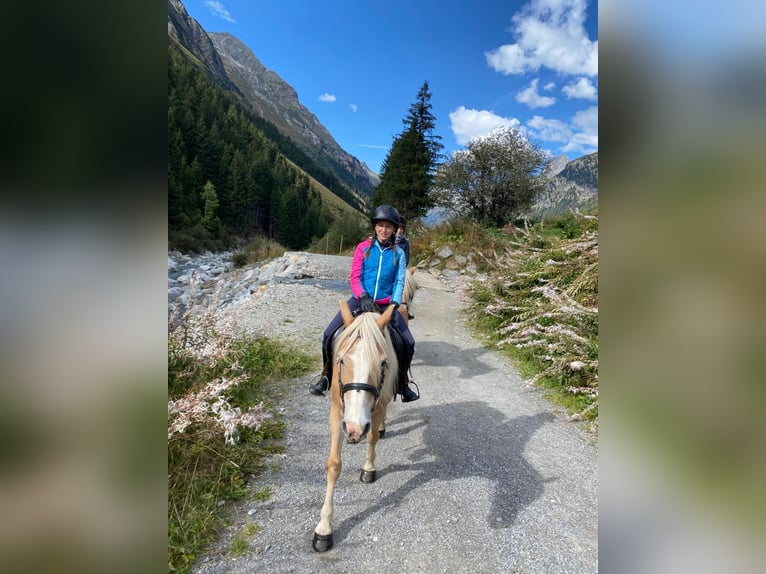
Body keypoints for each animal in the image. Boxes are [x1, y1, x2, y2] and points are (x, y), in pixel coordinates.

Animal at [312, 302, 400, 552]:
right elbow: (333, 465)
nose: (354, 428)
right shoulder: (337, 412)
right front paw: (323, 529)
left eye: (382, 363)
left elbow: (371, 439)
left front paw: (368, 469)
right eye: (341, 360)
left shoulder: (377, 408)